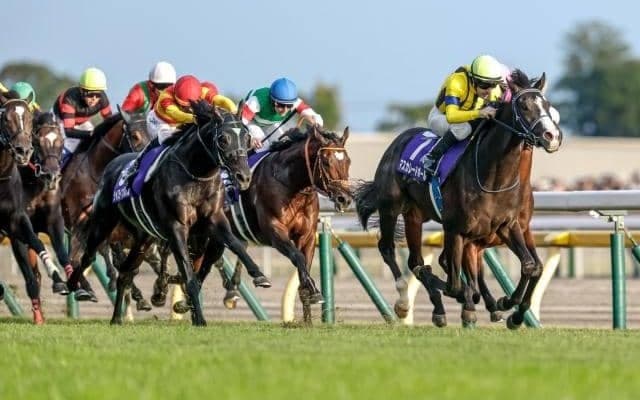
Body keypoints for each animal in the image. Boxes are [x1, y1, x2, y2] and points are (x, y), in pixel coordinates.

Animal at [0, 94, 71, 323]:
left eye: (61, 142)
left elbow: (49, 247)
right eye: (38, 142)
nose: (52, 176)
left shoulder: (38, 220)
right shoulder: (12, 232)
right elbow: (30, 275)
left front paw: (63, 280)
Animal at [68, 106, 268, 326]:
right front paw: (200, 319)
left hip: (143, 237)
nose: (244, 176)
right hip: (103, 222)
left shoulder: (215, 220)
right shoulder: (176, 227)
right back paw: (73, 285)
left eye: (247, 137)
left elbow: (235, 244)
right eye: (223, 138)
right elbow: (188, 275)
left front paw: (259, 275)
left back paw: (116, 318)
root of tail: (112, 165)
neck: (197, 174)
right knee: (88, 256)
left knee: (126, 273)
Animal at [206, 125, 353, 323]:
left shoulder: (307, 236)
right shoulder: (275, 231)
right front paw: (315, 291)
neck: (290, 183)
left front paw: (308, 319)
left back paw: (232, 290)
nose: (345, 199)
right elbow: (298, 257)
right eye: (326, 162)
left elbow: (304, 268)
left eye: (348, 162)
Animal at [354, 70, 562, 327]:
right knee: (390, 250)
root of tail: (398, 140)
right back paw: (404, 302)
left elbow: (531, 266)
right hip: (391, 207)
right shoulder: (456, 230)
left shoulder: (510, 226)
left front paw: (509, 306)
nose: (552, 136)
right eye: (524, 106)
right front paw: (480, 303)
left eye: (548, 105)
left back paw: (442, 308)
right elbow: (455, 284)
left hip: (415, 215)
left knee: (415, 261)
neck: (495, 178)